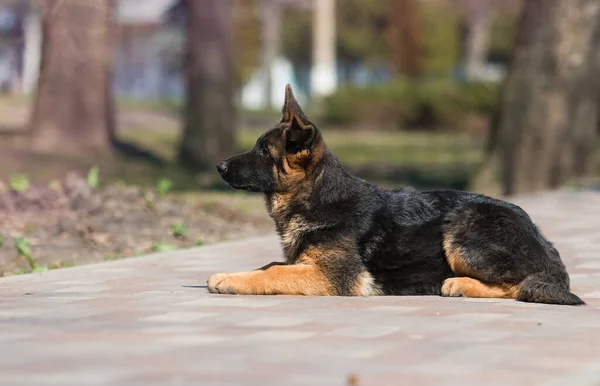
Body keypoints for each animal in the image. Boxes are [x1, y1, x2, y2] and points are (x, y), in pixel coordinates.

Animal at [209, 83, 584, 306]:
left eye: (263, 152)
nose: (219, 165)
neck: (318, 198)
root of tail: (545, 245)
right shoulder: (306, 263)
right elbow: (271, 265)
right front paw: (237, 274)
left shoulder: (332, 277)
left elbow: (273, 273)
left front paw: (229, 279)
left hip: (465, 223)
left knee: (521, 287)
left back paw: (460, 284)